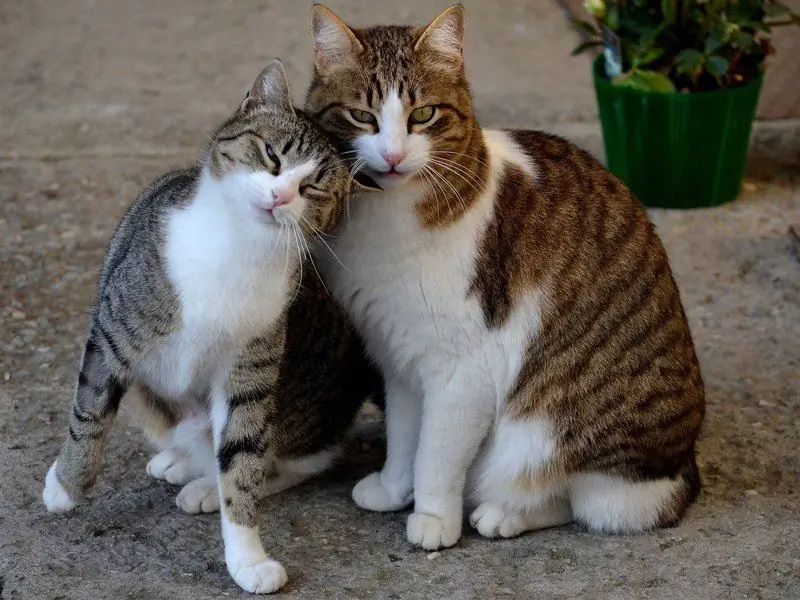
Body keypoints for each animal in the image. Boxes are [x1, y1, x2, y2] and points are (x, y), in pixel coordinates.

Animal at [40, 58, 382, 592]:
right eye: (271, 156)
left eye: (313, 188)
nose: (280, 196)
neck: (238, 245)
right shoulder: (114, 329)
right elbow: (90, 412)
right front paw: (66, 485)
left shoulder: (249, 369)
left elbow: (242, 462)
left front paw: (247, 556)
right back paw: (179, 463)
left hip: (307, 414)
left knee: (291, 459)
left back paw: (204, 486)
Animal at [306, 3, 708, 548]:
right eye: (362, 116)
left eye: (423, 115)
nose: (392, 155)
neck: (386, 219)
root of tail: (686, 469)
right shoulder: (400, 359)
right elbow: (405, 440)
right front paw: (393, 489)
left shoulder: (461, 374)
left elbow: (435, 456)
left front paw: (433, 519)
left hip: (554, 438)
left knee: (580, 500)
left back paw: (504, 514)